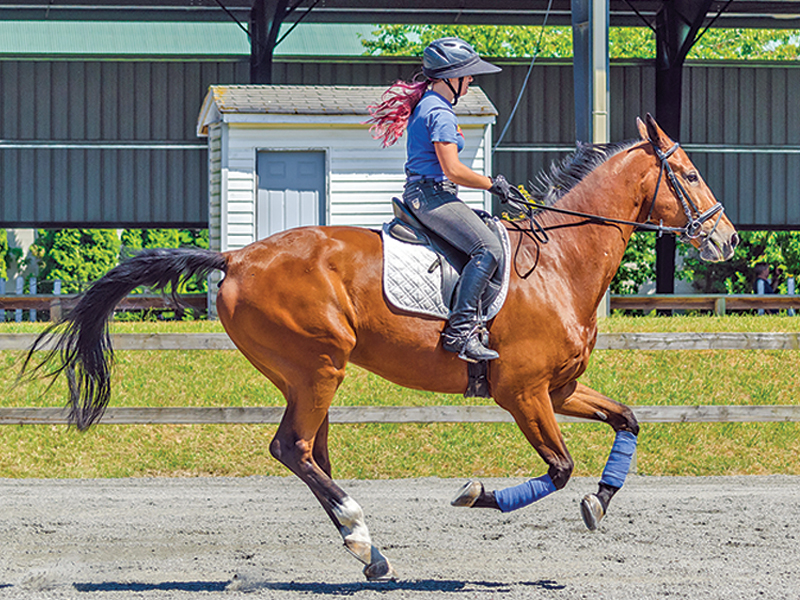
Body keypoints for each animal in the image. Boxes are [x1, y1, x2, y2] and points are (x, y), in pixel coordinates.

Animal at [22, 114, 738, 581]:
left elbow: (628, 420)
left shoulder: (559, 389)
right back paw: (364, 540)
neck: (559, 263)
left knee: (310, 451)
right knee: (292, 448)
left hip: (305, 374)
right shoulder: (523, 393)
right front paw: (477, 496)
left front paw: (599, 502)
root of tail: (236, 256)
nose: (726, 239)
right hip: (319, 365)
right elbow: (559, 468)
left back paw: (364, 548)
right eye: (690, 174)